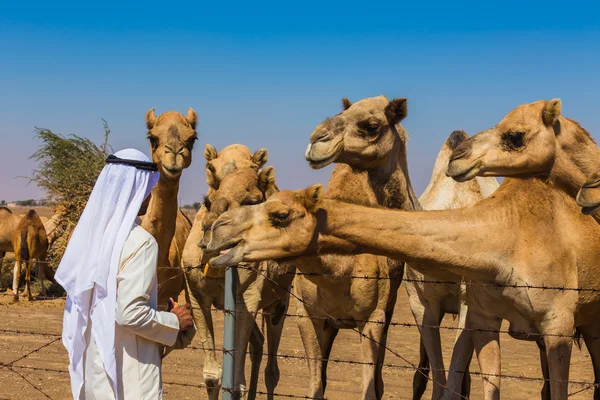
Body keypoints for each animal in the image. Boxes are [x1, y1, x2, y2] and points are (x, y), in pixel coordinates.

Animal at [182, 143, 278, 396]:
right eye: (210, 168)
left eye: (254, 167)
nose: (211, 225)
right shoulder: (195, 294)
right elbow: (212, 377)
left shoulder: (250, 295)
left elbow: (236, 383)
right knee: (258, 342)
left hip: (278, 304)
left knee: (272, 369)